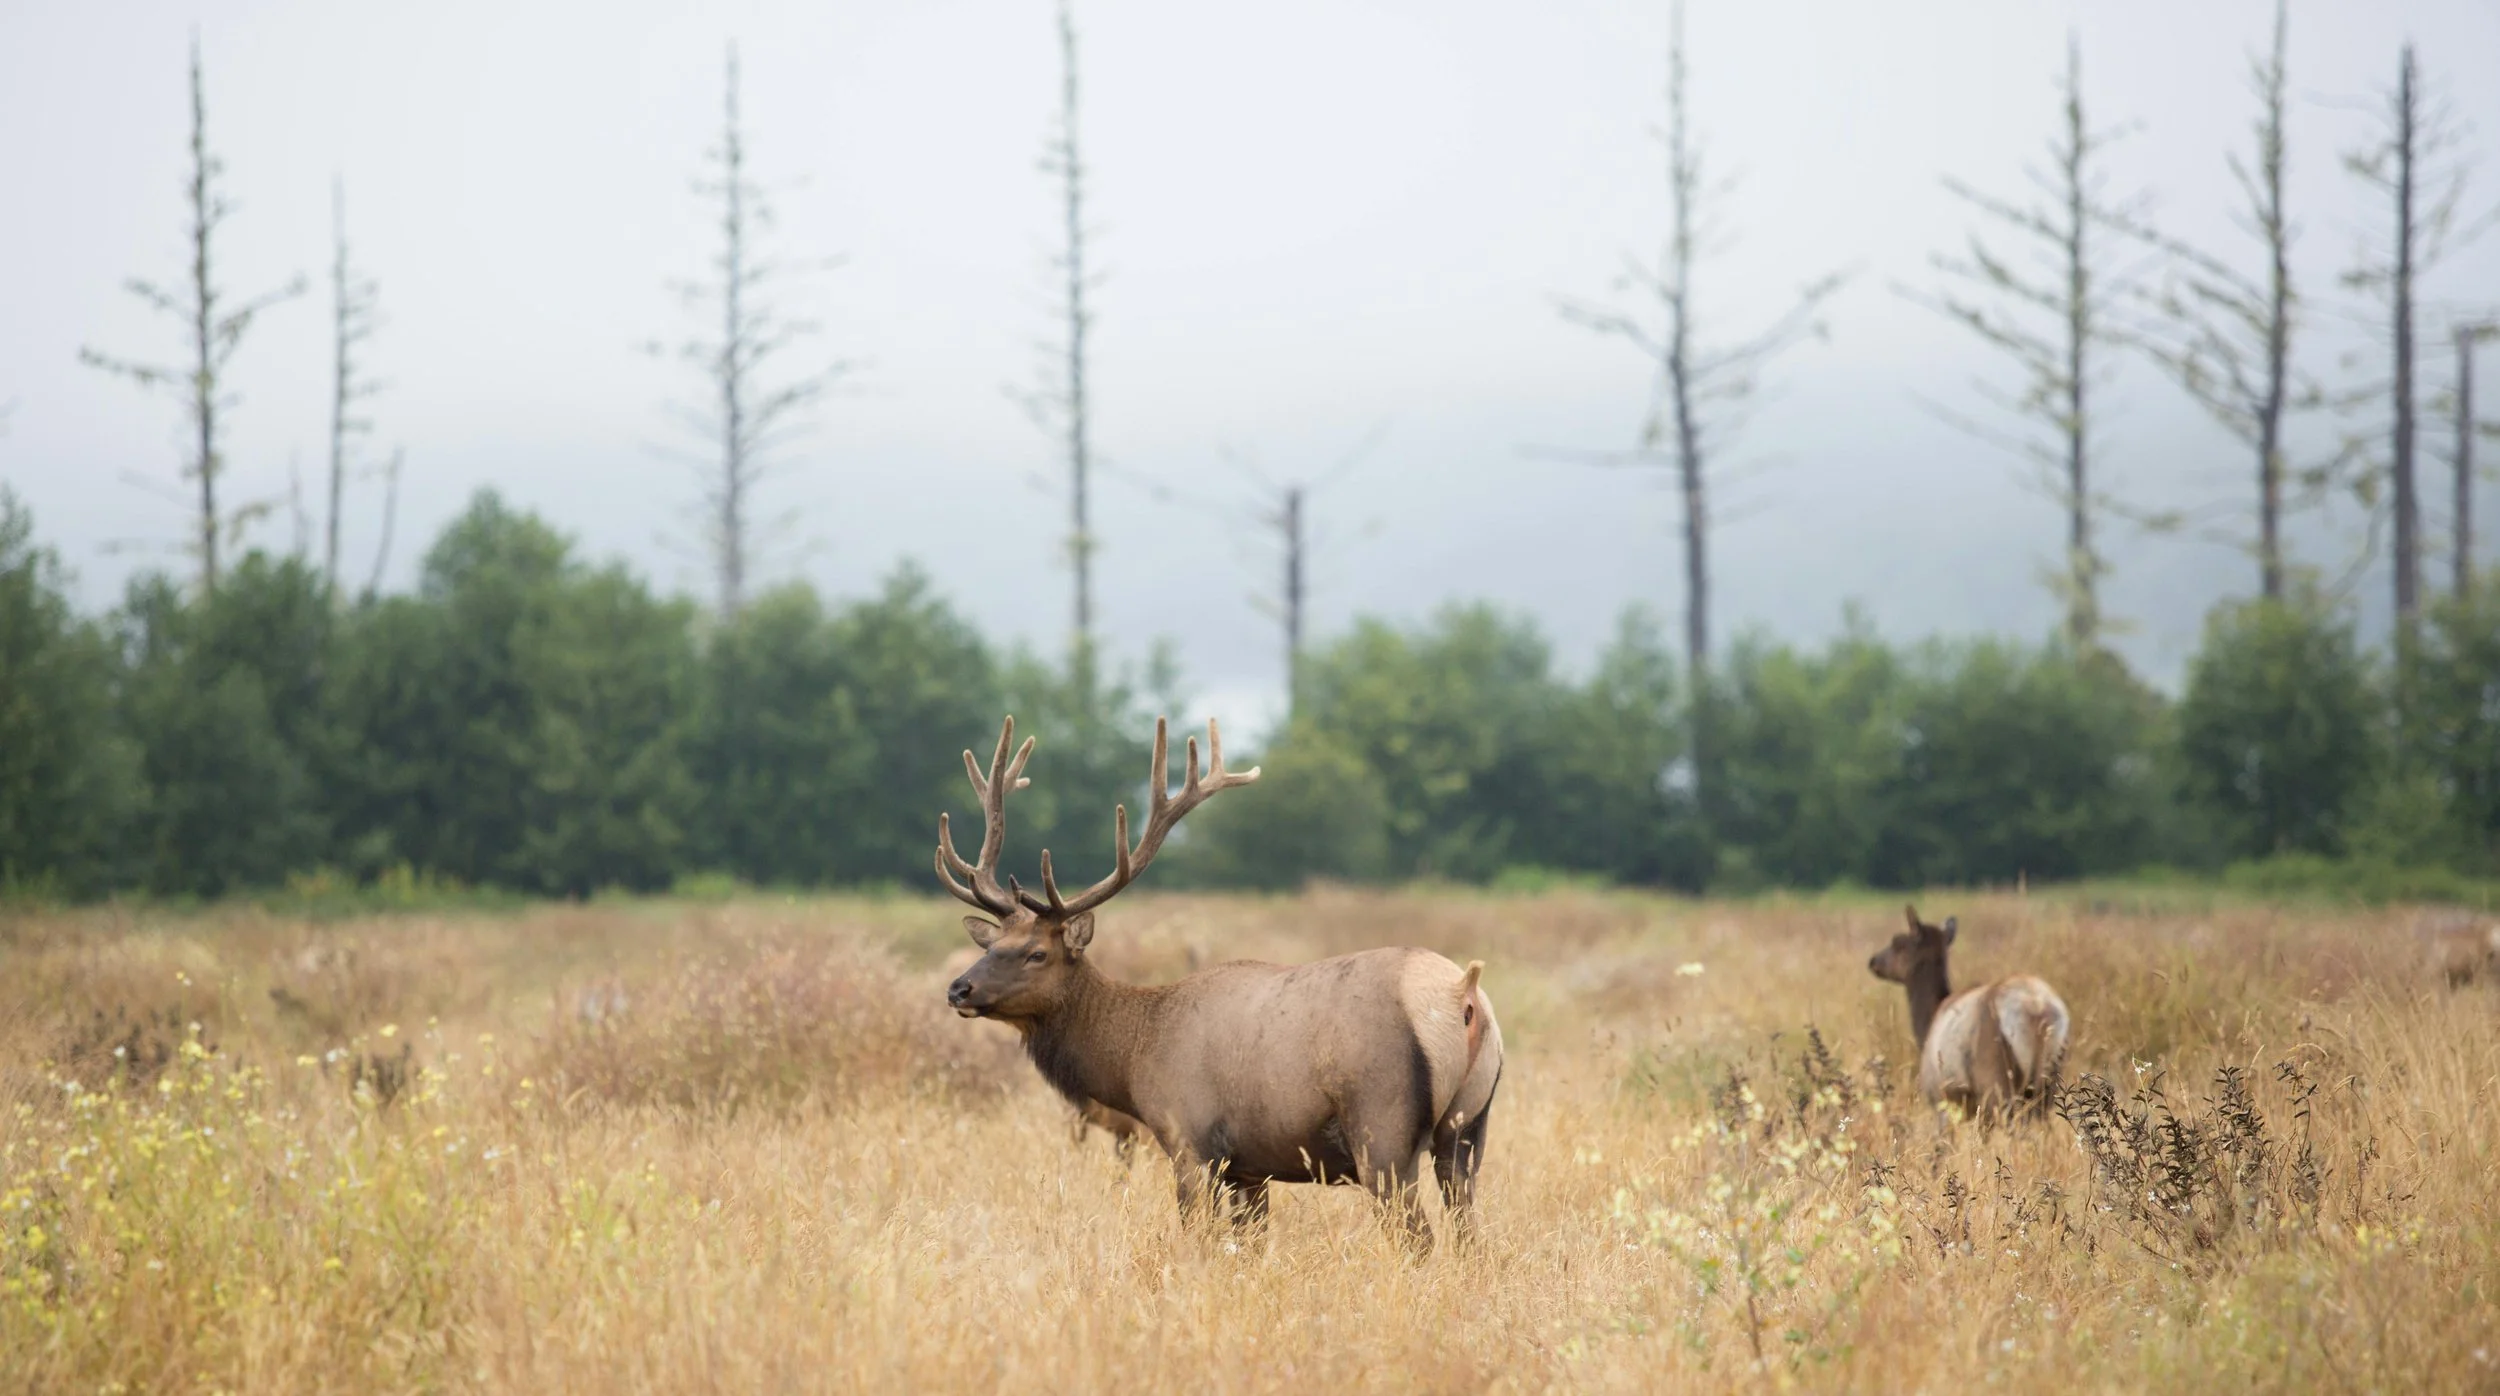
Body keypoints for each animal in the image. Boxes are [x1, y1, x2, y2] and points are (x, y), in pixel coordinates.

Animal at [938, 715, 1502, 1249]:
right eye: (989, 946)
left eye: (1036, 953)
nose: (958, 989)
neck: (1134, 1059)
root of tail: (1463, 992)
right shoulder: (1249, 1168)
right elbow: (1249, 1243)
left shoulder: (1190, 1140)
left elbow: (1200, 1238)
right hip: (1468, 1128)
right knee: (1470, 1235)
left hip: (1383, 1128)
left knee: (1419, 1238)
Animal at [1865, 905, 2068, 1122]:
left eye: (1897, 942)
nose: (1873, 961)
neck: (1927, 1025)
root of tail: (2037, 1011)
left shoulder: (1940, 1098)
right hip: (2048, 1080)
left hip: (1995, 1079)